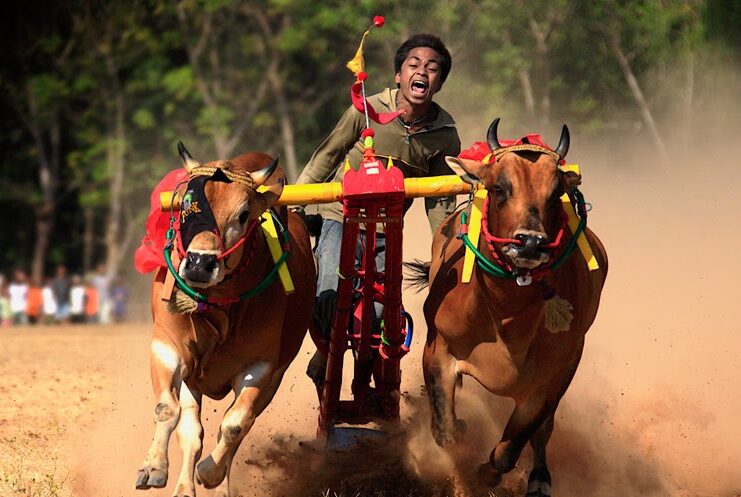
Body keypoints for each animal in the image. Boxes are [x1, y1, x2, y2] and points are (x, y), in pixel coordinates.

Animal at [134, 143, 314, 496]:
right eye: (186, 205)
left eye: (243, 214)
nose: (199, 264)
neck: (219, 309)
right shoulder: (167, 347)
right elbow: (169, 411)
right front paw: (153, 467)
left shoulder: (261, 367)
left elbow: (234, 425)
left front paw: (210, 473)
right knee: (191, 431)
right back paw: (182, 486)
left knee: (239, 426)